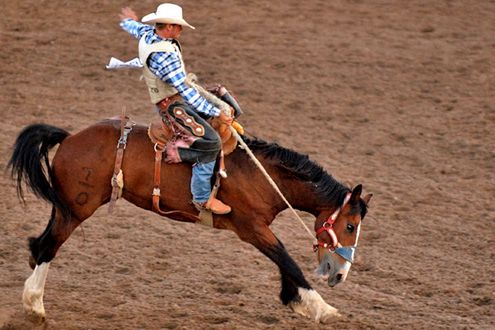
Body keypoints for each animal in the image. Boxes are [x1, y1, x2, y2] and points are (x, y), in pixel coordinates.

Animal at [7, 118, 372, 322]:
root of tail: (69, 137)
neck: (261, 174)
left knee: (38, 244)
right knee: (48, 248)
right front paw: (322, 309)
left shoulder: (258, 230)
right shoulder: (252, 228)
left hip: (64, 207)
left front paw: (295, 302)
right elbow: (287, 259)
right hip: (75, 211)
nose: (340, 274)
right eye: (350, 226)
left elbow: (283, 262)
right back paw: (35, 307)